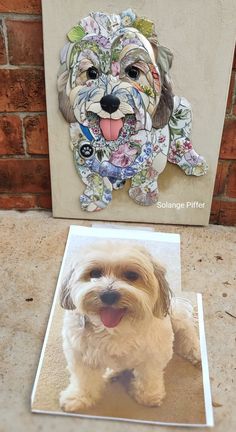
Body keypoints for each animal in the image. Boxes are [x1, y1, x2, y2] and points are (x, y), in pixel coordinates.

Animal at [57, 9, 208, 212]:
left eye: (133, 72)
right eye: (92, 73)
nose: (109, 102)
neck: (117, 141)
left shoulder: (156, 152)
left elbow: (149, 173)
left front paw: (143, 194)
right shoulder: (81, 152)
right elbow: (93, 178)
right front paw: (95, 198)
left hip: (183, 109)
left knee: (181, 140)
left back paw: (191, 160)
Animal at [59, 240, 201, 412]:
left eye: (132, 275)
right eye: (95, 273)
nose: (109, 295)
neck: (115, 329)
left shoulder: (154, 354)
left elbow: (149, 375)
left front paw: (149, 395)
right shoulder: (80, 354)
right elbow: (84, 379)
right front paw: (79, 397)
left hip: (175, 314)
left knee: (186, 328)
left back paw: (194, 350)